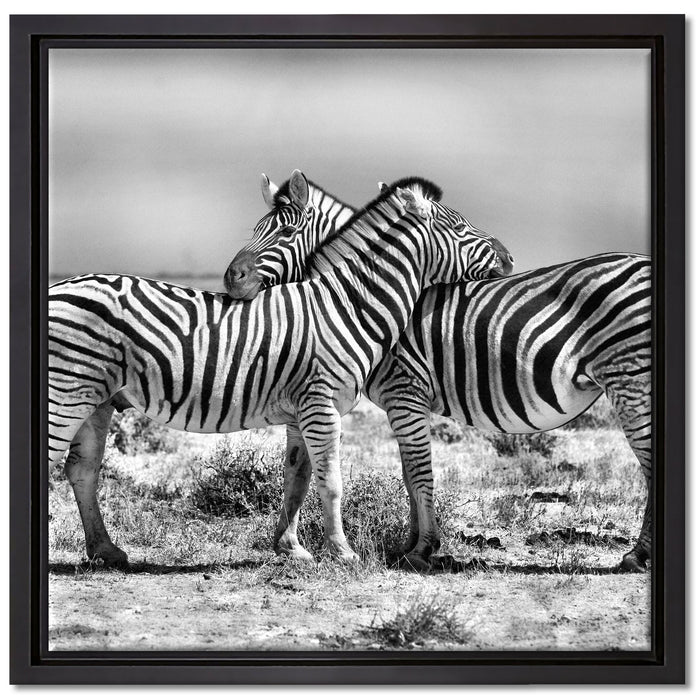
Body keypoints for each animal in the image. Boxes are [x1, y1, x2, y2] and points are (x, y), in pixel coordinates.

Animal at [49, 172, 510, 566]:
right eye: (461, 229)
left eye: (286, 233)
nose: (507, 257)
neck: (347, 305)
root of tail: (59, 285)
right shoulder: (322, 405)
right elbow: (330, 481)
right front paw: (342, 553)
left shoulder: (302, 410)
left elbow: (297, 477)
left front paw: (293, 549)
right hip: (66, 393)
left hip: (97, 400)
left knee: (82, 469)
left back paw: (106, 551)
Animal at [224, 177, 652, 573]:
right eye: (256, 229)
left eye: (284, 232)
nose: (231, 279)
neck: (359, 298)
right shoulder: (403, 403)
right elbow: (408, 474)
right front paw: (410, 544)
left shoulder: (405, 392)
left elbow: (418, 472)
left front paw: (422, 549)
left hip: (629, 378)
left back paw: (637, 556)